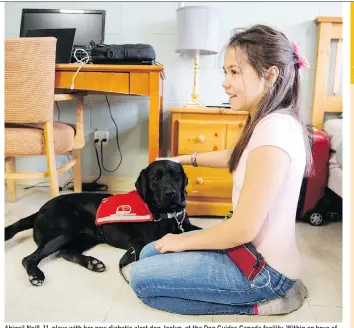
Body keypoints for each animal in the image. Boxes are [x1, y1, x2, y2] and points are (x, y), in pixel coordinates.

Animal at [4, 160, 201, 286]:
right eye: (155, 179)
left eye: (175, 176)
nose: (171, 193)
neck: (170, 214)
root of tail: (40, 210)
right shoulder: (149, 242)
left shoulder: (187, 226)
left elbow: (198, 230)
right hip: (63, 232)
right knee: (29, 258)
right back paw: (36, 275)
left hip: (86, 237)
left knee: (67, 253)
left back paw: (92, 263)